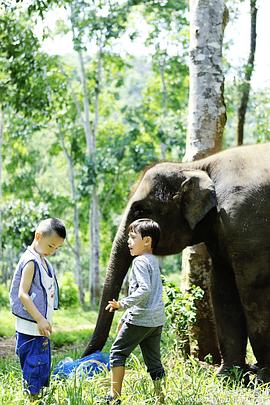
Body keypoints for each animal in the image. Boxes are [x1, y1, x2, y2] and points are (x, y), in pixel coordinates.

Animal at [83, 143, 270, 382]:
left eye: (140, 209)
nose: (90, 360)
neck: (197, 166)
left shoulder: (246, 222)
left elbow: (254, 289)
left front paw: (263, 378)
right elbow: (221, 287)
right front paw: (227, 377)